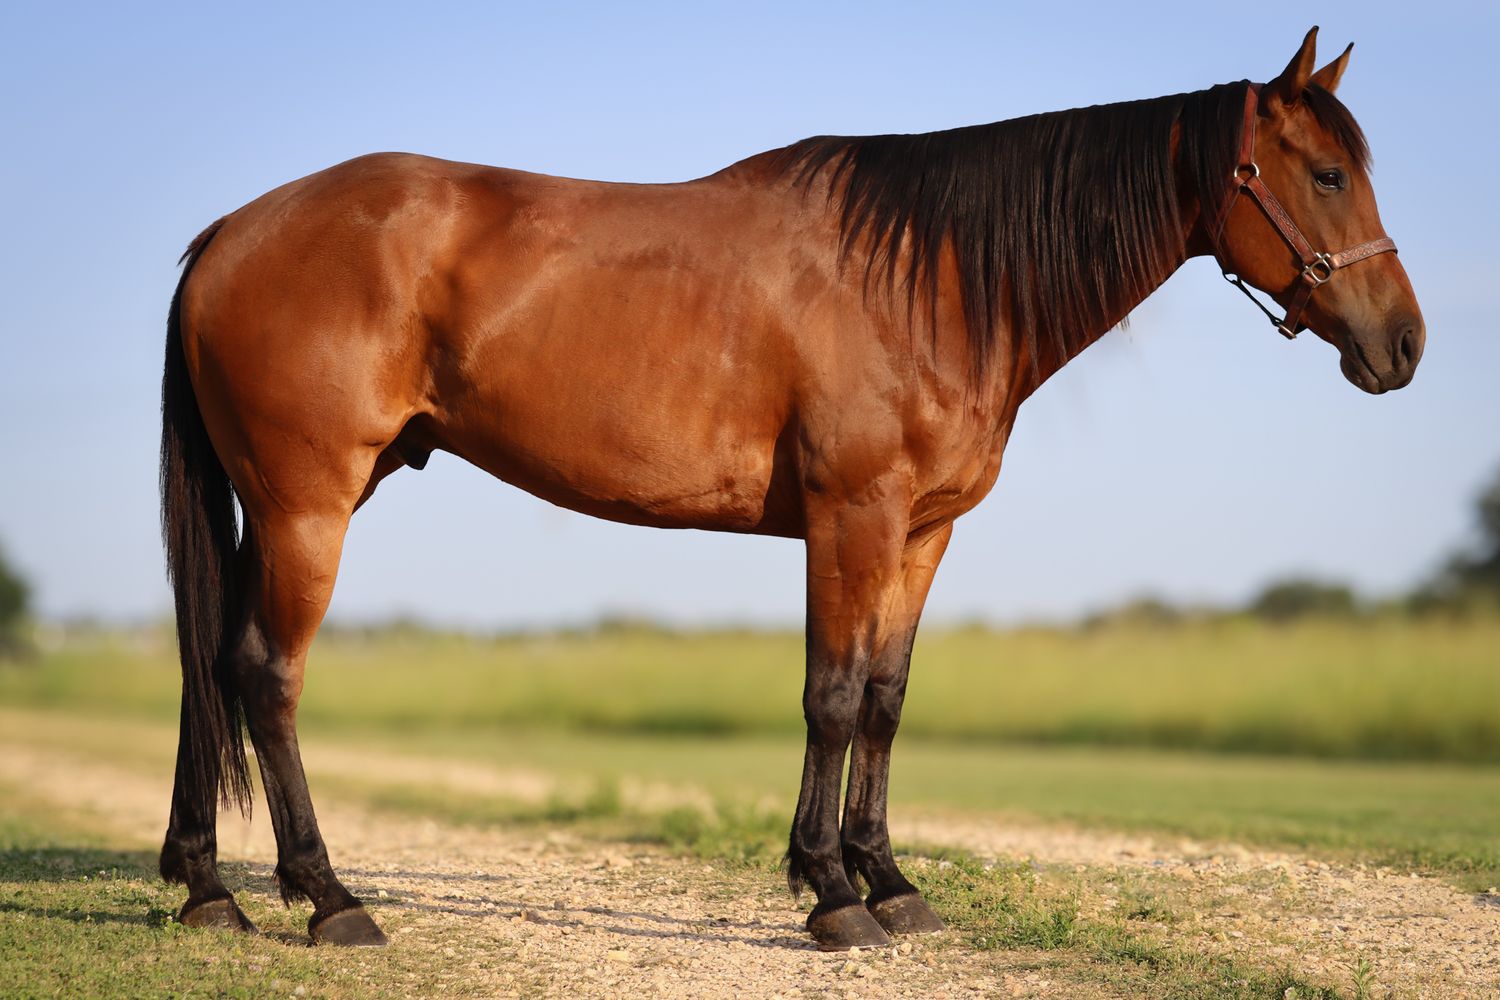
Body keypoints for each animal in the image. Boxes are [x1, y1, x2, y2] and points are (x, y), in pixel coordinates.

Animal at [158, 27, 1423, 951]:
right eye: (1324, 173)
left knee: (211, 662)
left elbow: (886, 699)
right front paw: (831, 894)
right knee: (266, 675)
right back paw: (329, 899)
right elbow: (830, 695)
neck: (931, 277)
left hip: (288, 504)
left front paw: (890, 878)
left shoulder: (921, 535)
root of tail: (231, 230)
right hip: (308, 506)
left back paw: (207, 889)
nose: (1403, 346)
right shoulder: (850, 518)